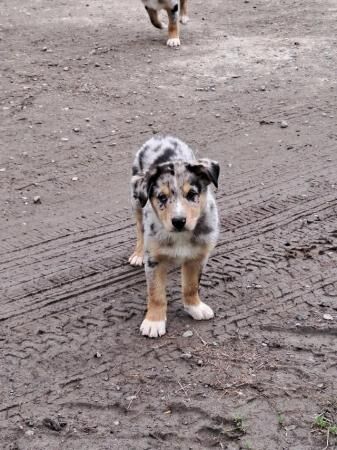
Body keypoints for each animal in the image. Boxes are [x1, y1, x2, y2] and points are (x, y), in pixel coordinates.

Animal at [128, 137, 218, 338]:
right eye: (161, 197)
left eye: (192, 194)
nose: (178, 221)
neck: (181, 236)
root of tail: (160, 138)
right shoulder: (153, 260)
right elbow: (156, 294)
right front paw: (154, 322)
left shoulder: (198, 256)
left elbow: (191, 285)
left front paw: (195, 307)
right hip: (137, 201)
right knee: (139, 229)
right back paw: (137, 254)